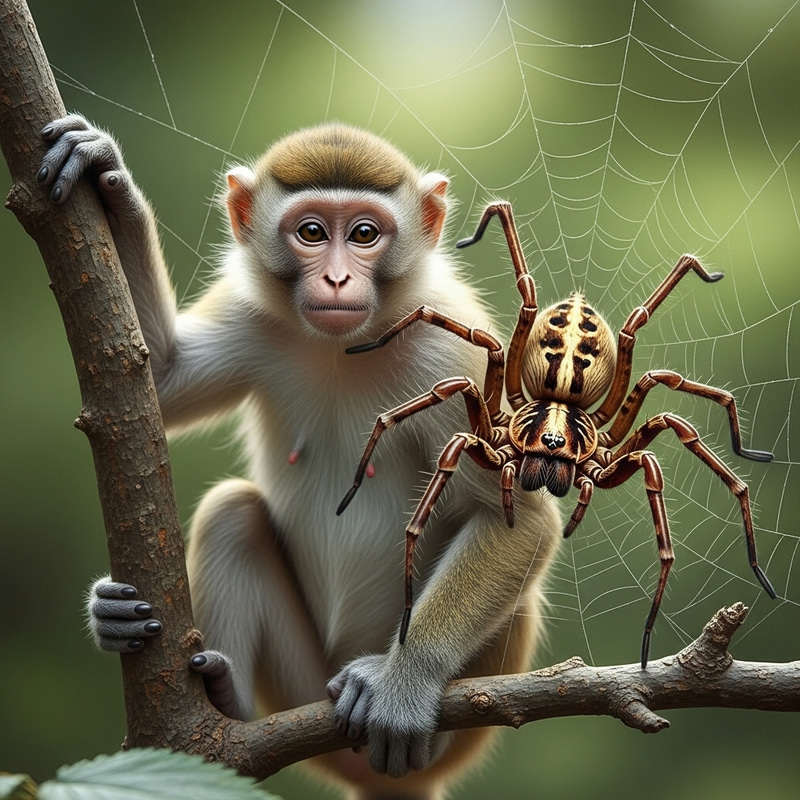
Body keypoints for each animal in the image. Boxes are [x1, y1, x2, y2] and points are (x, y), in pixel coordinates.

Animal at [39, 115, 561, 800]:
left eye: (364, 234)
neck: (346, 345)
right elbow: (155, 377)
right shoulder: (251, 315)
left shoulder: (456, 355)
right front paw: (108, 179)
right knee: (232, 513)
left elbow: (517, 517)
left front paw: (404, 681)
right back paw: (217, 695)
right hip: (299, 684)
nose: (337, 279)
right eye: (312, 232)